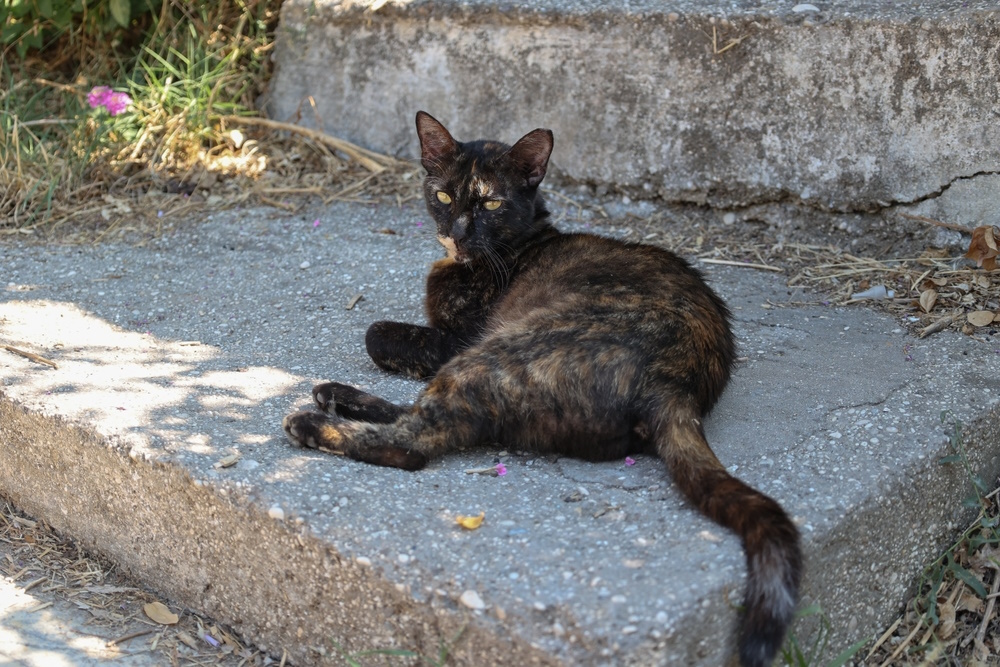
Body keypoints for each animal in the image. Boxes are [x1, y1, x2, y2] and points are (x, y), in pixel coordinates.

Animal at [286, 112, 800, 664]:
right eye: (443, 196)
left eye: (490, 203)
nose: (457, 233)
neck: (513, 246)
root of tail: (677, 381)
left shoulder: (455, 339)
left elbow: (376, 333)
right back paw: (335, 396)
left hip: (496, 350)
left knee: (415, 441)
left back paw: (312, 422)